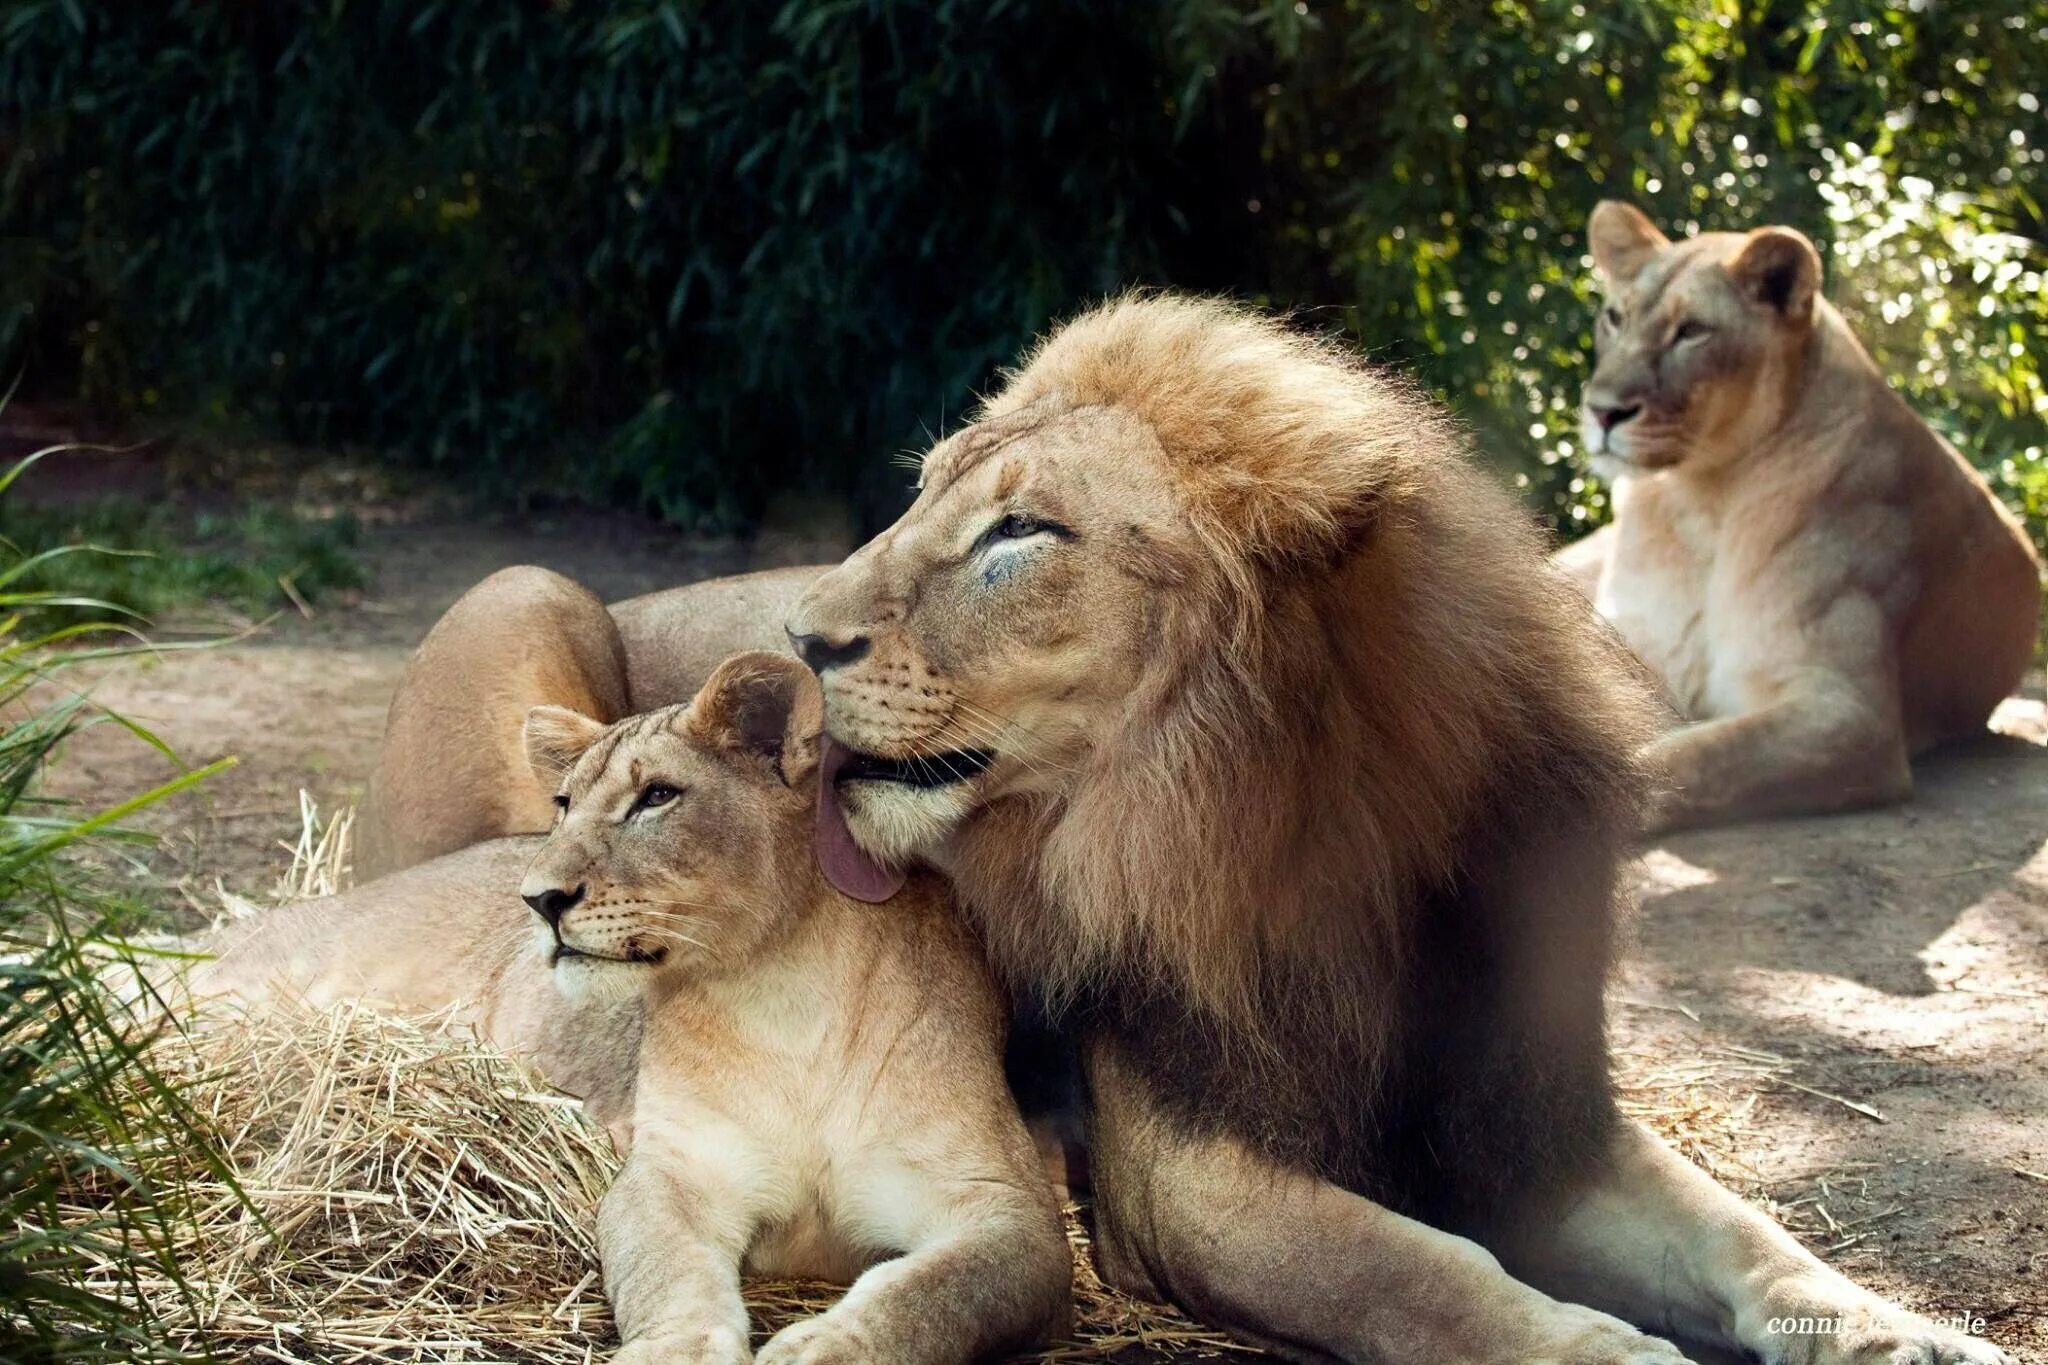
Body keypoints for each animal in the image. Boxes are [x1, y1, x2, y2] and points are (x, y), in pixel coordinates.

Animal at [360, 294, 2007, 1358]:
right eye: (923, 498)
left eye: (1023, 531)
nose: (796, 641)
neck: (1329, 840)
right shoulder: (1187, 1182)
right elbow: (1432, 1275)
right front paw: (1607, 1351)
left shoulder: (1532, 1111)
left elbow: (1749, 1237)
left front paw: (1900, 1334)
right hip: (527, 591)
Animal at [1556, 197, 2039, 826]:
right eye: (1615, 317)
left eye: (1692, 332)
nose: (1602, 411)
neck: (1698, 499)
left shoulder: (1847, 712)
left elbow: (1688, 760)